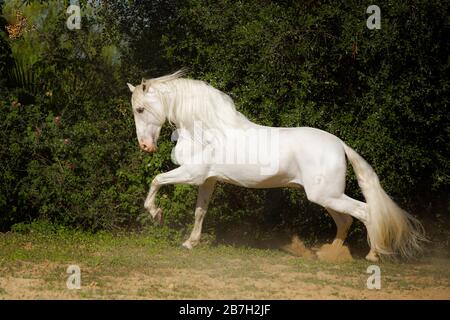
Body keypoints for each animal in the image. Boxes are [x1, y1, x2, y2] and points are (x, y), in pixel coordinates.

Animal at [126, 69, 426, 260]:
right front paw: (190, 243)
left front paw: (156, 214)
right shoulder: (208, 180)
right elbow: (201, 211)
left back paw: (372, 255)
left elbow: (156, 180)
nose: (145, 146)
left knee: (364, 212)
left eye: (140, 109)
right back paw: (329, 253)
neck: (207, 129)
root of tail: (340, 145)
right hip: (326, 196)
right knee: (346, 220)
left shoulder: (192, 174)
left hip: (326, 195)